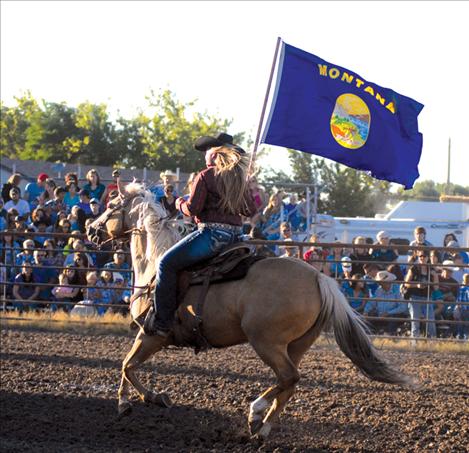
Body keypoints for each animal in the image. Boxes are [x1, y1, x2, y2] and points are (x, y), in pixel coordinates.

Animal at [86, 181, 412, 438]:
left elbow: (127, 365)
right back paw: (262, 427)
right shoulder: (148, 336)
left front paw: (137, 401)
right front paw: (135, 401)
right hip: (297, 344)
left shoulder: (152, 333)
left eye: (112, 204)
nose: (91, 230)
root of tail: (319, 278)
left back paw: (256, 411)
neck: (155, 264)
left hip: (266, 341)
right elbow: (128, 364)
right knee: (289, 382)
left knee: (289, 377)